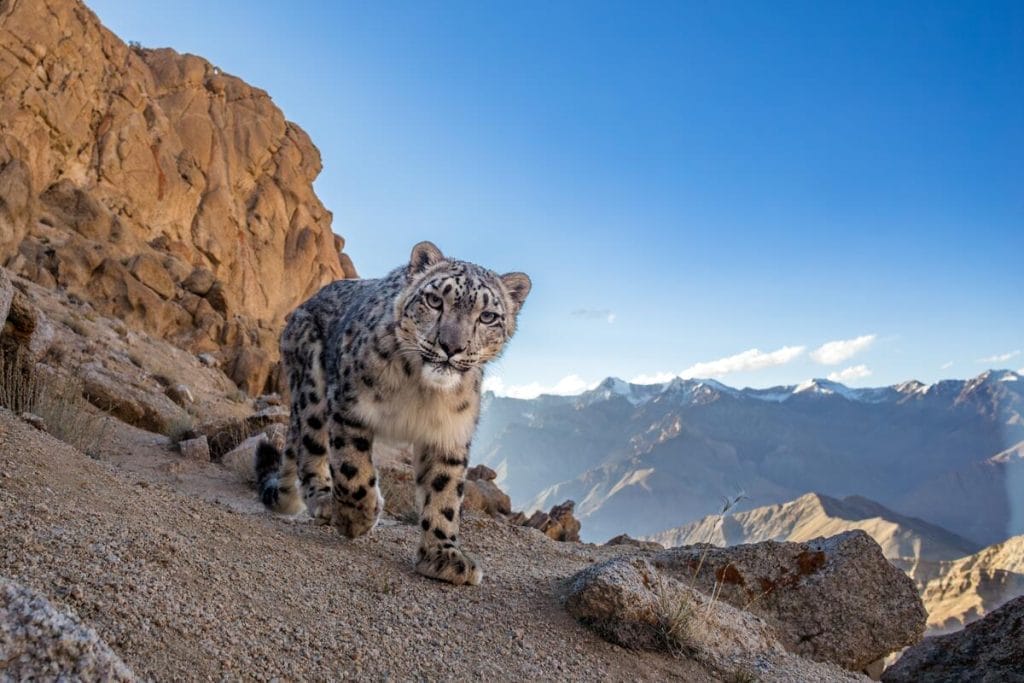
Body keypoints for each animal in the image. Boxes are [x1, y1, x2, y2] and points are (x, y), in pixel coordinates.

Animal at [254, 241, 530, 586]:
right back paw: (324, 500)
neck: (422, 390)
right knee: (310, 444)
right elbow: (353, 470)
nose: (451, 347)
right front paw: (356, 519)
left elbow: (444, 492)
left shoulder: (449, 433)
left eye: (488, 316)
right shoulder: (350, 407)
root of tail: (302, 307)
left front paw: (443, 556)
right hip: (312, 389)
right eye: (434, 300)